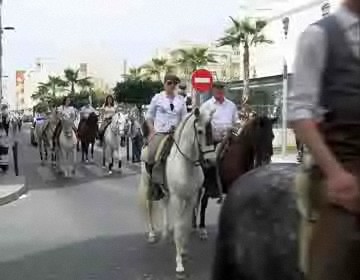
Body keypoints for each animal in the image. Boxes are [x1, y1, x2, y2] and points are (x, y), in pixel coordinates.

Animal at [139, 108, 212, 274]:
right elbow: (179, 227)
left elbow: (185, 225)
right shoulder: (178, 198)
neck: (186, 164)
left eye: (213, 129)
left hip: (167, 192)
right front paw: (179, 263)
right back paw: (152, 233)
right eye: (200, 131)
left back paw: (166, 232)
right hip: (148, 183)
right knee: (149, 205)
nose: (210, 161)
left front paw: (183, 250)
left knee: (164, 205)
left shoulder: (191, 198)